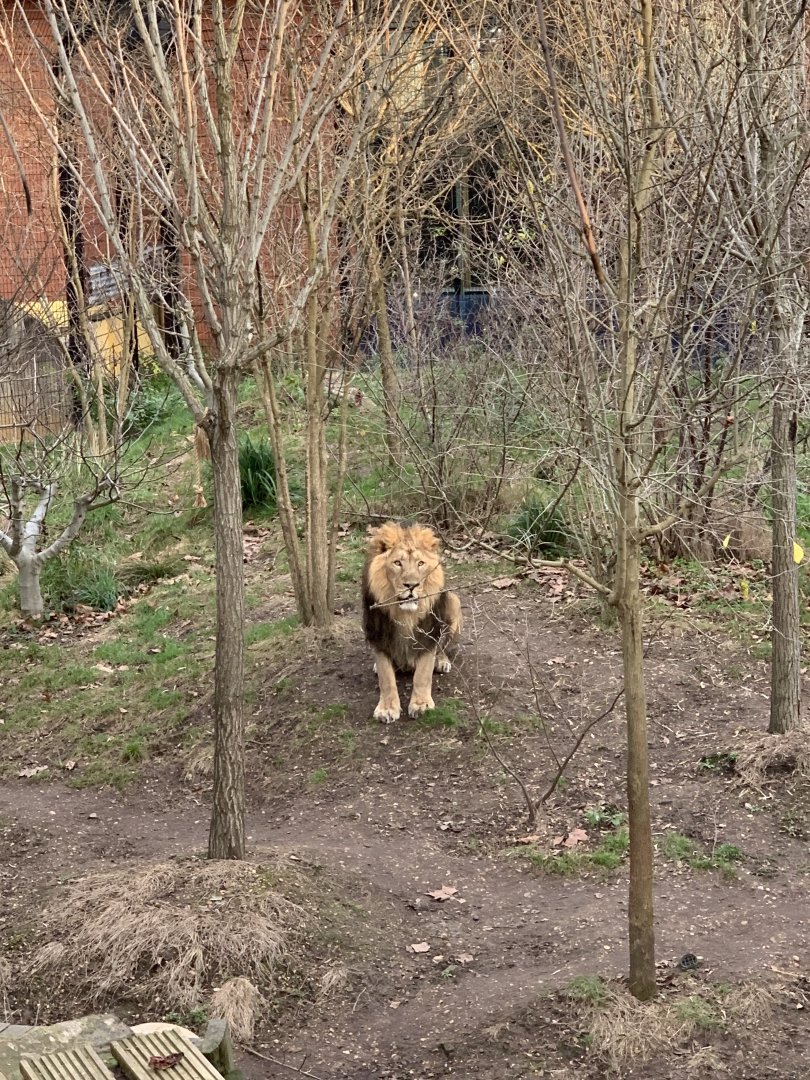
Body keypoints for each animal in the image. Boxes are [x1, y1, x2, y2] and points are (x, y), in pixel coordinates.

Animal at [362, 521, 462, 722]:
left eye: (420, 563)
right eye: (397, 563)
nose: (411, 585)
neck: (405, 614)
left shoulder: (428, 634)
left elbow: (422, 675)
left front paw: (421, 704)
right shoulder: (379, 635)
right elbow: (386, 678)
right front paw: (387, 708)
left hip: (454, 601)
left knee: (443, 647)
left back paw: (442, 662)